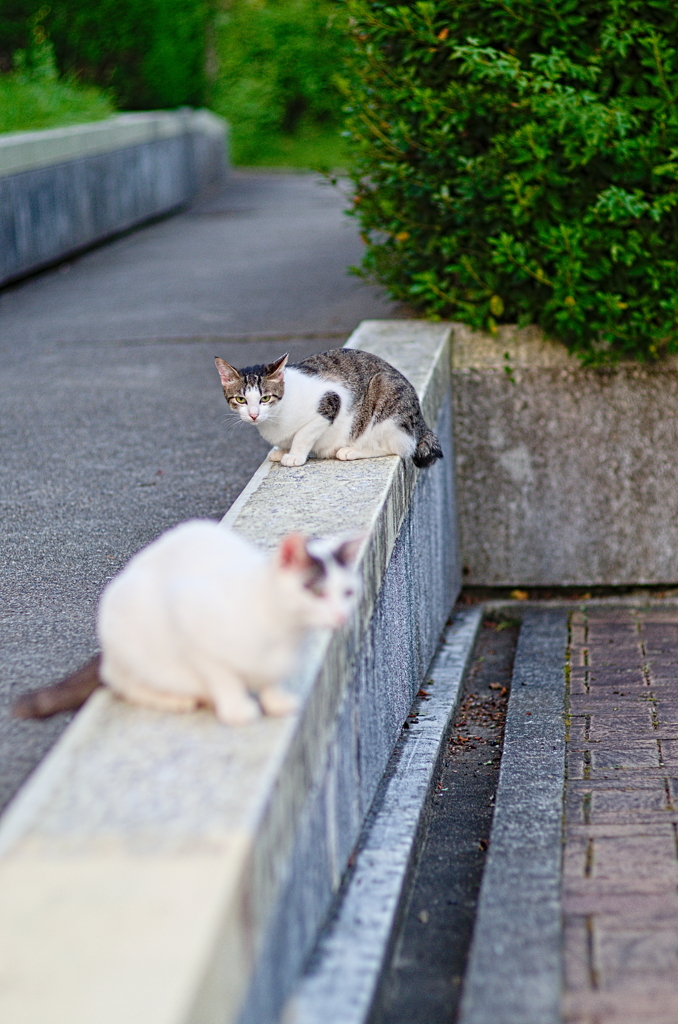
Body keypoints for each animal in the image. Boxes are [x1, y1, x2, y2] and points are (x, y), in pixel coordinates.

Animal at [215, 348, 444, 468]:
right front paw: (282, 450)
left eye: (265, 398)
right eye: (241, 400)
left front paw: (294, 455)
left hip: (387, 400)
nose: (254, 415)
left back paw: (350, 451)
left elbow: (303, 434)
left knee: (397, 446)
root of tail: (421, 422)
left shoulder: (330, 402)